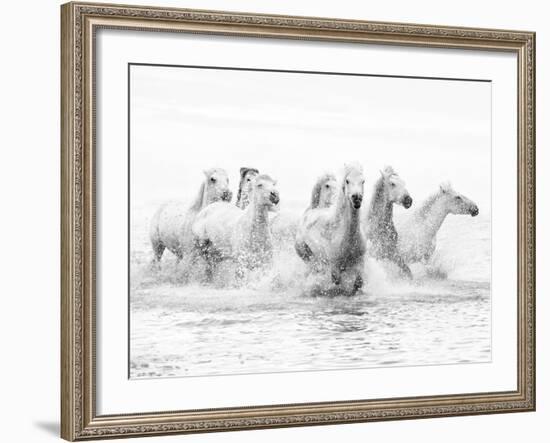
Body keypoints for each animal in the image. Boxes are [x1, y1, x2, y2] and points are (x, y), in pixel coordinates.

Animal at [296, 163, 368, 294]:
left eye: (363, 181)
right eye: (347, 181)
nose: (357, 198)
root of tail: (311, 210)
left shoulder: (360, 260)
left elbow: (359, 282)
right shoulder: (334, 265)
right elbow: (336, 280)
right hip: (304, 253)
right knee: (314, 268)